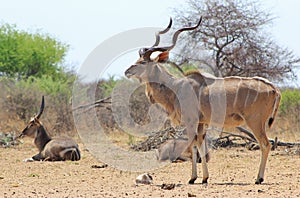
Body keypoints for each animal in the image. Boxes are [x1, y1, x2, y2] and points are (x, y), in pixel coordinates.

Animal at [125, 16, 282, 184]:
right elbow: (198, 146)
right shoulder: (201, 123)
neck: (176, 87)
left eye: (143, 62)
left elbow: (193, 145)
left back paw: (259, 178)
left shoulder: (191, 121)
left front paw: (195, 178)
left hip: (255, 122)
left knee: (265, 144)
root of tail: (274, 89)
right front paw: (202, 178)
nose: (127, 71)